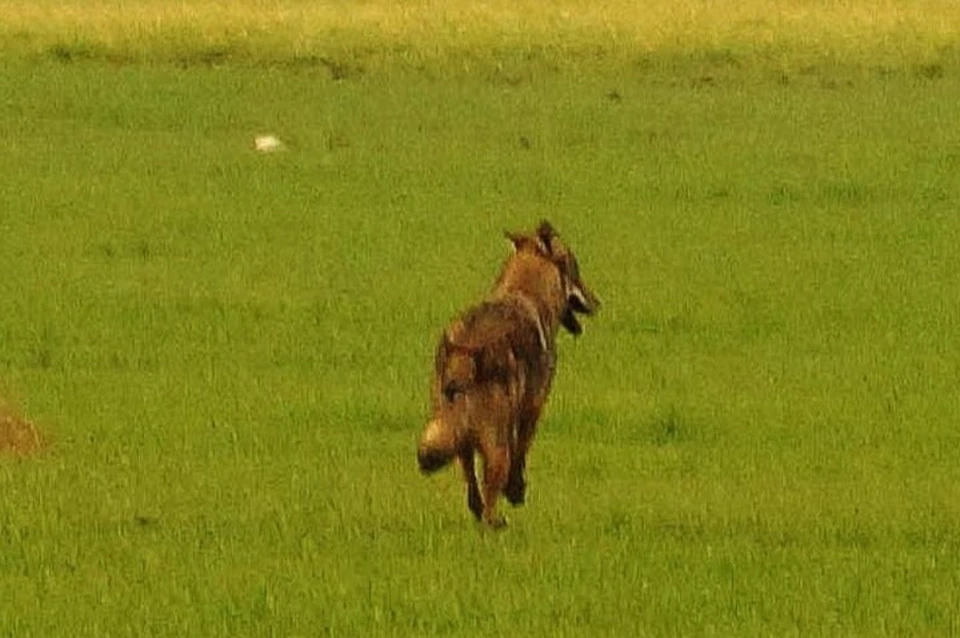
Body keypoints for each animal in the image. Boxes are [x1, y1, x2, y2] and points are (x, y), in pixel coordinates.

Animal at [414, 220, 596, 528]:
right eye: (575, 269)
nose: (598, 302)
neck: (524, 291)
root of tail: (465, 350)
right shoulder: (531, 409)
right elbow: (519, 453)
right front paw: (516, 490)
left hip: (457, 432)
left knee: (471, 483)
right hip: (492, 439)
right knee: (491, 487)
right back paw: (496, 523)